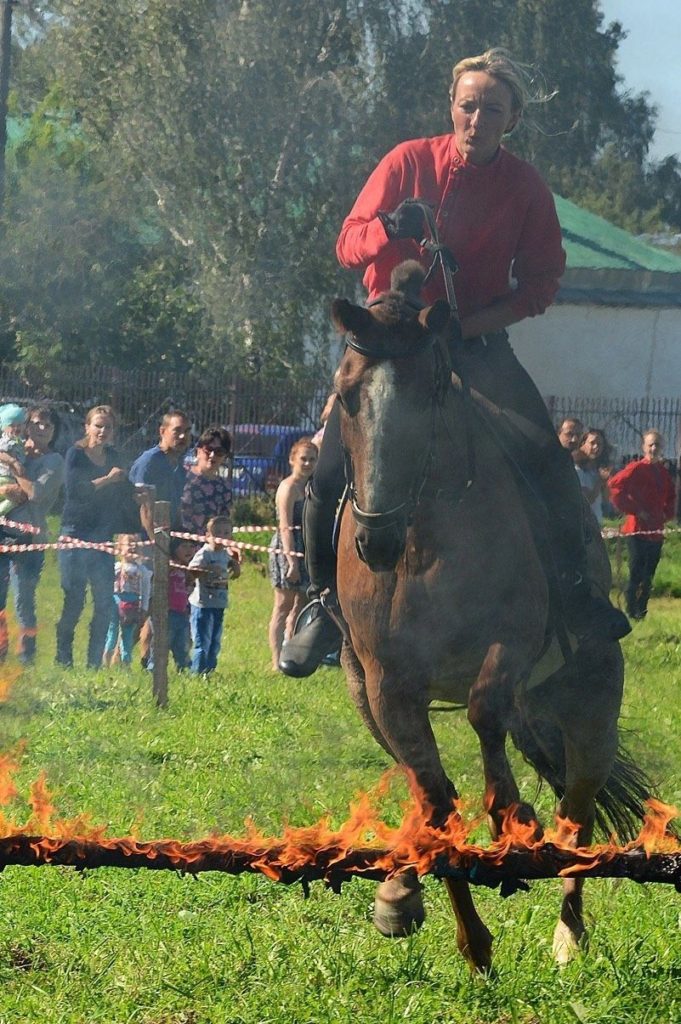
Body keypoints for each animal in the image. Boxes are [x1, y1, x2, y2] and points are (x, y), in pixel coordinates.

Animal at [331, 262, 651, 972]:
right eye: (345, 396)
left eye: (430, 391)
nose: (376, 539)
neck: (425, 544)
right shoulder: (388, 686)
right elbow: (434, 798)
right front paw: (466, 937)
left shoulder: (512, 643)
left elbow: (482, 711)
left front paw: (511, 815)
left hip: (590, 710)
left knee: (579, 810)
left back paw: (568, 933)